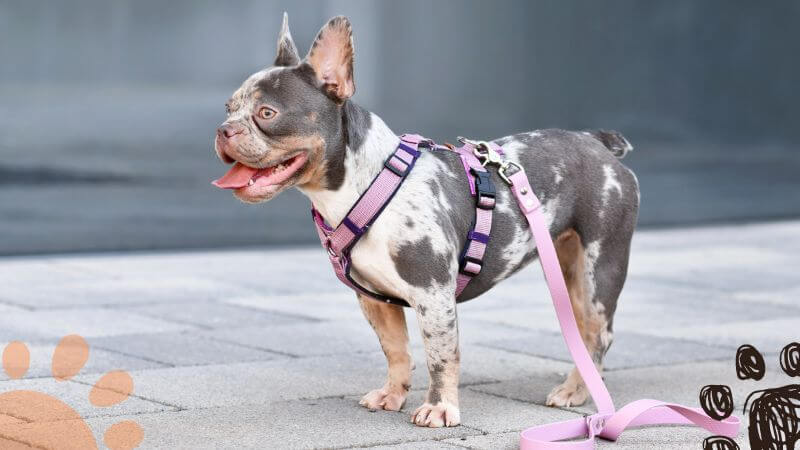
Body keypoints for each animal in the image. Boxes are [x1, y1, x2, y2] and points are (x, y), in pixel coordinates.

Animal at [212, 14, 636, 428]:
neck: (369, 184)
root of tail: (597, 142)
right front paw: (393, 394)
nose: (222, 129)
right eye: (228, 108)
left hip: (600, 268)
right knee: (583, 329)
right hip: (570, 268)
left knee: (598, 333)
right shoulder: (374, 299)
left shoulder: (433, 295)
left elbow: (440, 355)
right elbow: (396, 350)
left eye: (267, 113)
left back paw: (576, 391)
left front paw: (440, 408)